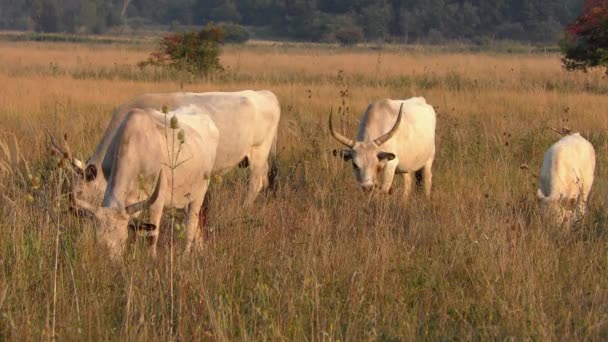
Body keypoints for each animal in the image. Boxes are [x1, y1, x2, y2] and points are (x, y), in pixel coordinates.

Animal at [64, 90, 280, 206]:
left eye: (80, 192)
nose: (75, 212)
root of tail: (265, 93)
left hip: (259, 153)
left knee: (255, 184)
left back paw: (244, 206)